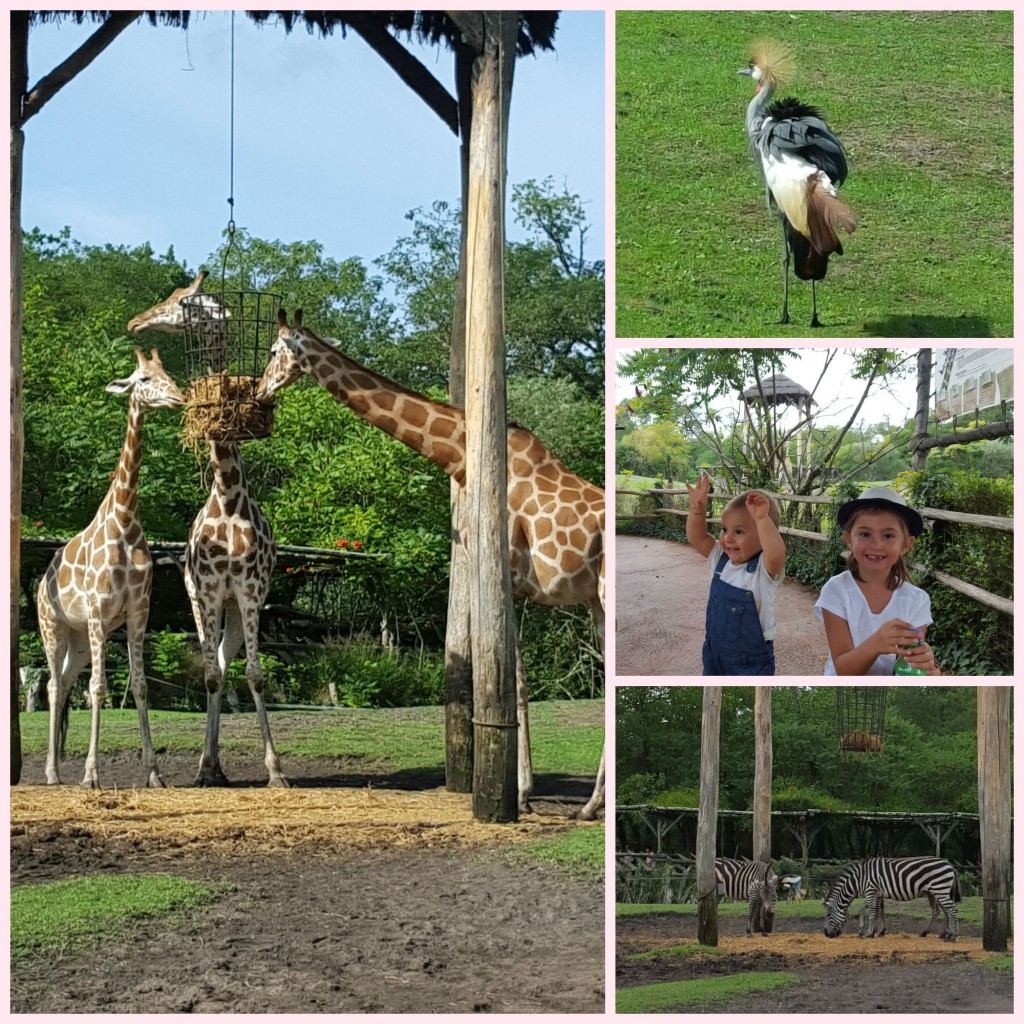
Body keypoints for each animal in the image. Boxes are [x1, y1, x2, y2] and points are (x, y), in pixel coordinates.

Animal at [36, 348, 186, 786]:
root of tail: (40, 582)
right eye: (143, 378)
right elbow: (99, 689)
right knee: (53, 686)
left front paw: (154, 774)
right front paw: (91, 775)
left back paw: (56, 770)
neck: (124, 518)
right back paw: (52, 774)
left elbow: (139, 686)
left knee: (65, 681)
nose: (178, 398)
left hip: (80, 638)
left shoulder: (138, 613)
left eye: (167, 372)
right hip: (54, 628)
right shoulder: (100, 612)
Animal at [130, 276, 288, 786]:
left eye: (186, 301)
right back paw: (210, 765)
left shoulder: (250, 590)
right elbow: (211, 675)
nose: (136, 322)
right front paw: (203, 769)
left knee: (225, 660)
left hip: (238, 610)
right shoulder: (208, 589)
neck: (228, 497)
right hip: (207, 602)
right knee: (213, 667)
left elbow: (255, 675)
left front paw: (276, 771)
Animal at [260, 307, 602, 819]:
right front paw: (523, 791)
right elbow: (520, 682)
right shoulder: (513, 582)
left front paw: (518, 792)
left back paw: (591, 805)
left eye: (274, 351)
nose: (260, 387)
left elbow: (508, 679)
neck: (459, 458)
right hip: (596, 602)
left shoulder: (504, 573)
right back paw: (592, 804)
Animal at [823, 860, 958, 937]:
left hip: (940, 890)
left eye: (828, 915)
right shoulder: (878, 893)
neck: (860, 879)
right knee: (941, 911)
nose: (825, 934)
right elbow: (879, 912)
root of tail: (950, 864)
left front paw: (868, 933)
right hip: (934, 892)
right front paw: (879, 931)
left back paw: (952, 936)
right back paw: (938, 933)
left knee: (952, 910)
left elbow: (870, 912)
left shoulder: (870, 891)